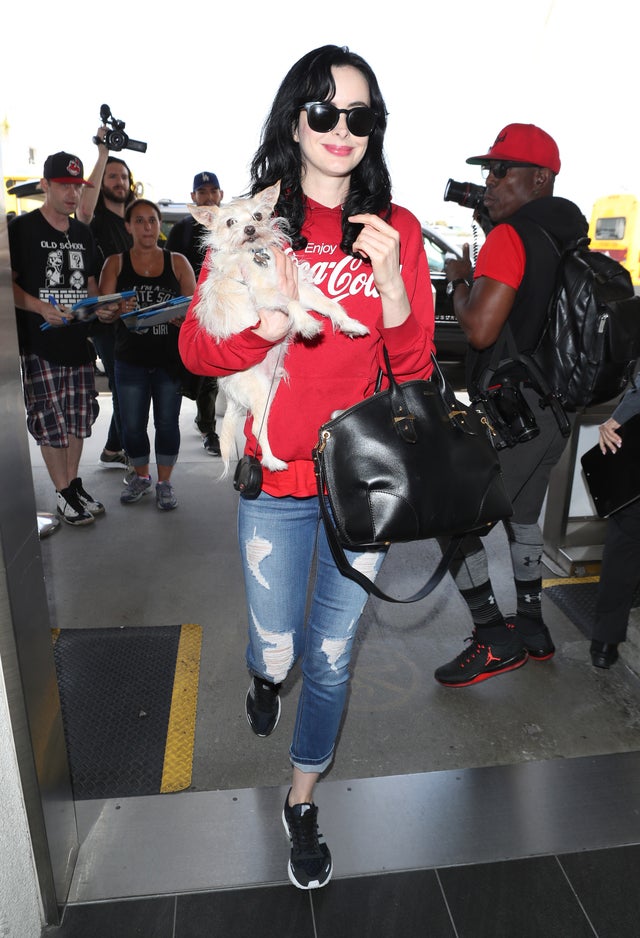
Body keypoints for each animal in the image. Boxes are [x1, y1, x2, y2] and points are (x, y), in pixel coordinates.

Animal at [190, 180, 368, 472]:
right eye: (230, 222)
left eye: (258, 216)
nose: (250, 229)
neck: (256, 255)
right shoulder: (264, 295)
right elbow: (290, 302)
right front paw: (306, 323)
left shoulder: (300, 289)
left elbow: (328, 304)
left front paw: (350, 324)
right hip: (260, 391)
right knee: (257, 431)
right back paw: (272, 462)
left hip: (269, 392)